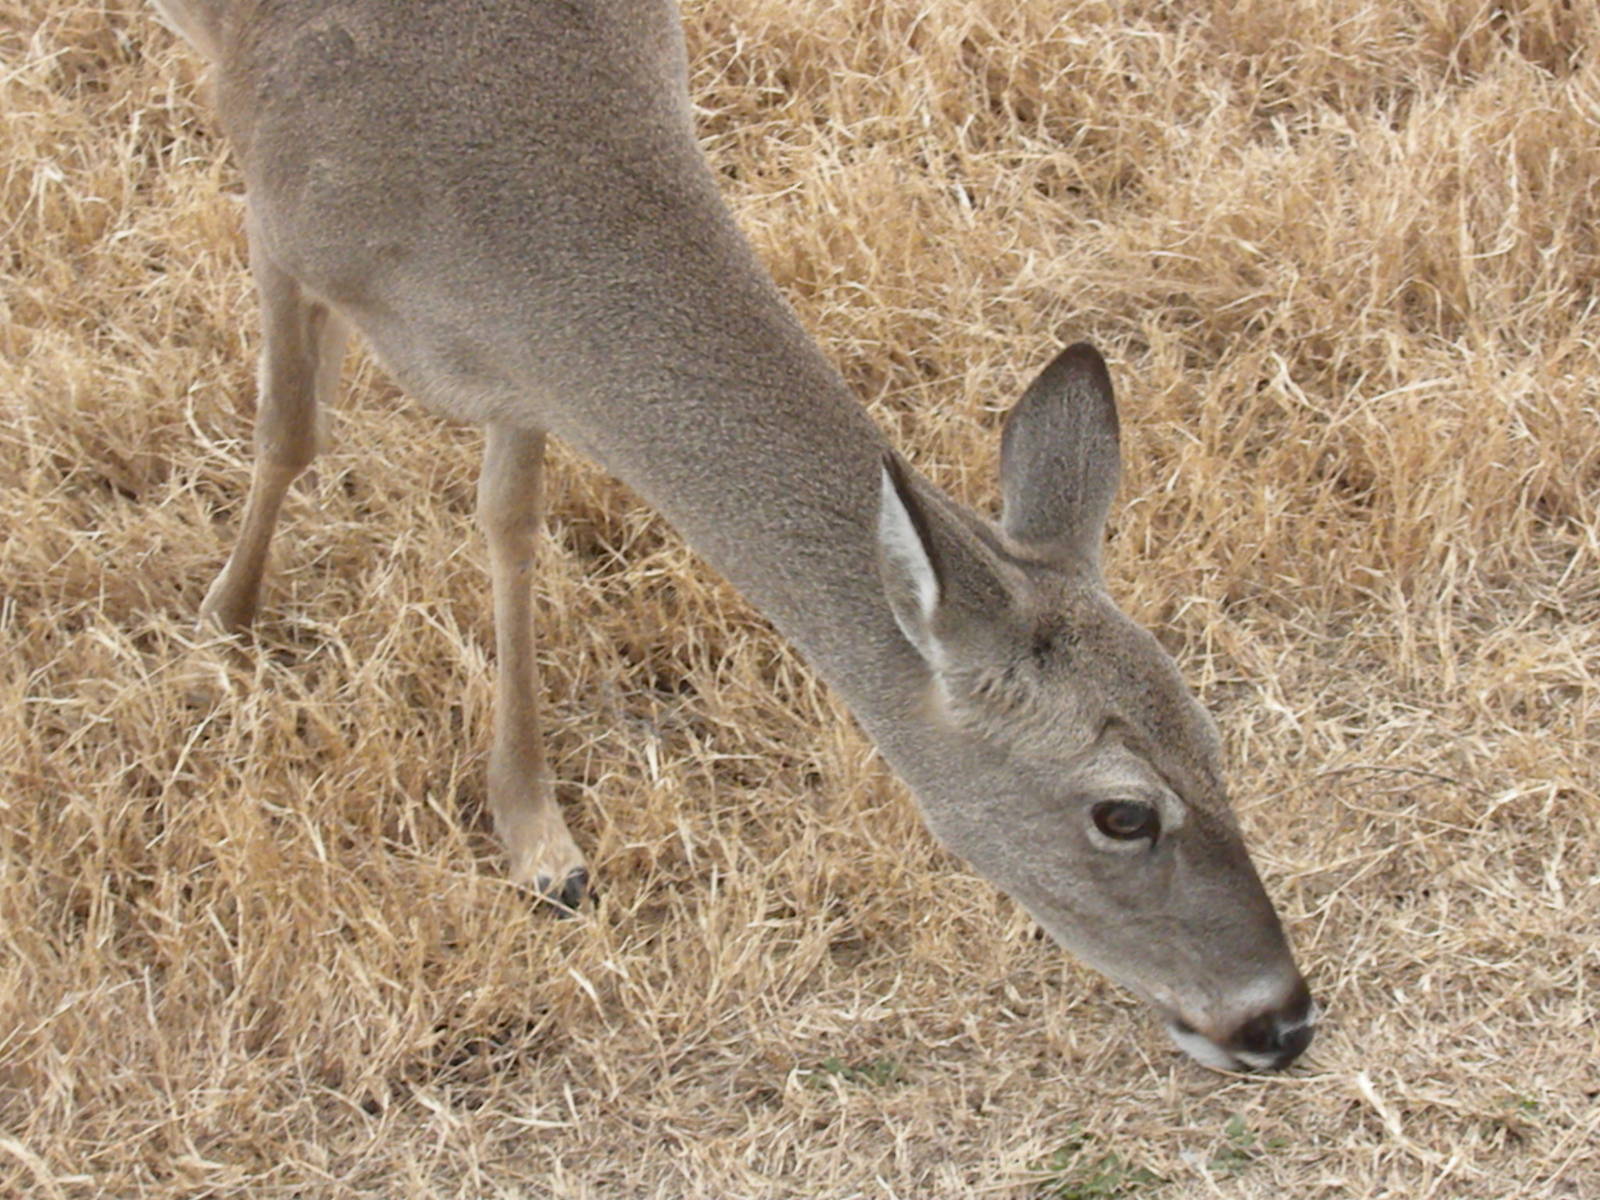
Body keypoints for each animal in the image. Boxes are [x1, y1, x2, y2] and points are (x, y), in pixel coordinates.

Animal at [150, 0, 1315, 1072]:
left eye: (1214, 741)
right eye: (1122, 813)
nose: (1283, 1020)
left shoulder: (522, 377)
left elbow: (509, 523)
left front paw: (534, 832)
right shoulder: (277, 214)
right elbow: (289, 429)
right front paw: (225, 622)